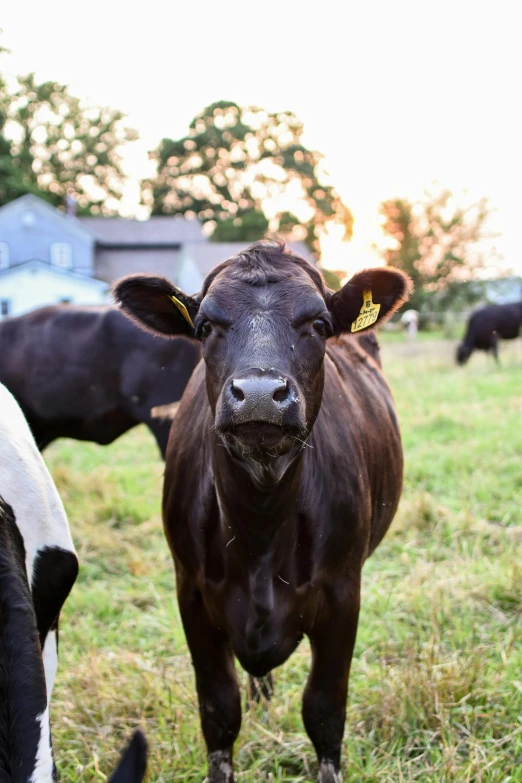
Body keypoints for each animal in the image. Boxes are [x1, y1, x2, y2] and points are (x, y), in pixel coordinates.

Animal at [115, 242, 410, 780]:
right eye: (204, 326)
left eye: (319, 324)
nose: (257, 395)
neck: (260, 529)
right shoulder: (191, 594)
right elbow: (219, 711)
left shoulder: (343, 593)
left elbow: (324, 712)